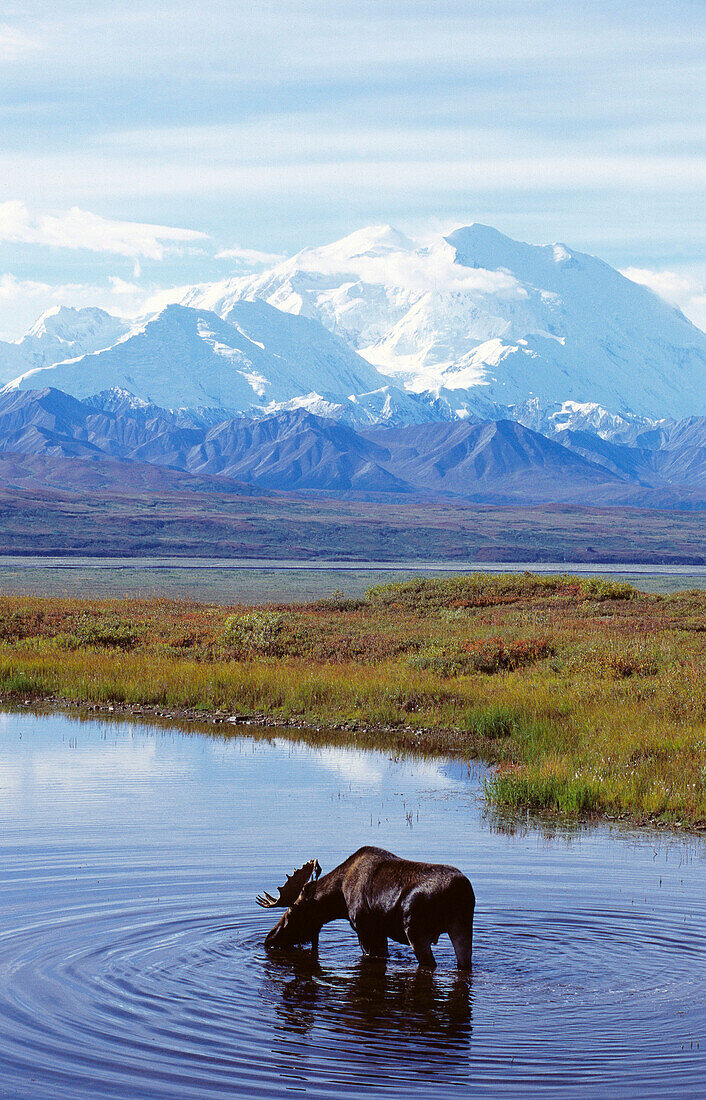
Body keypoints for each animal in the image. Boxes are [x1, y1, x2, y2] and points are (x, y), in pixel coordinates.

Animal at [254, 844, 472, 968]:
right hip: (461, 927)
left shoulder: (365, 929)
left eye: (292, 912)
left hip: (416, 932)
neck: (339, 899)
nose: (269, 939)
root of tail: (462, 890)